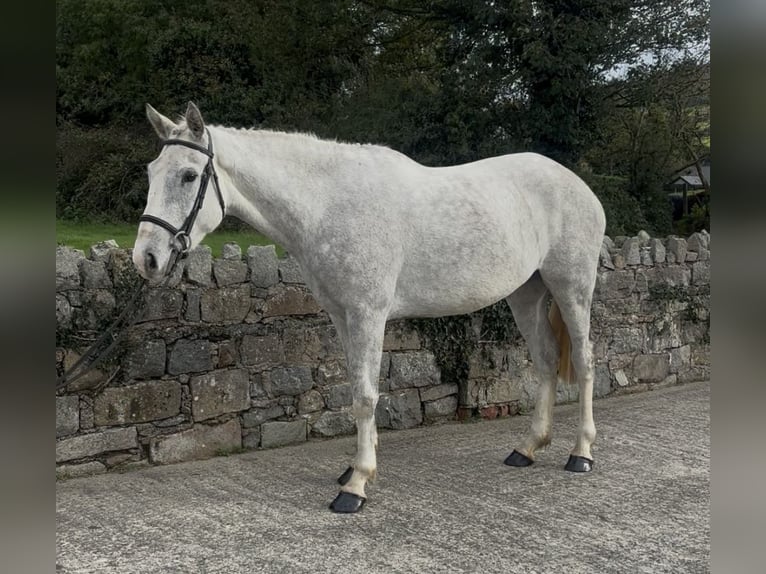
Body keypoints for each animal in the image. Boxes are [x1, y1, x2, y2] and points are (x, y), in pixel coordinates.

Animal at [134, 102, 606, 513]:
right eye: (151, 172)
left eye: (189, 175)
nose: (147, 259)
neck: (328, 204)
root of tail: (580, 186)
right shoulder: (343, 318)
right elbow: (354, 390)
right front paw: (354, 470)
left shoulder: (367, 314)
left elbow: (365, 395)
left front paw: (356, 485)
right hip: (526, 293)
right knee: (545, 360)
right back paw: (527, 448)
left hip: (572, 288)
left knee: (584, 361)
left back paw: (580, 453)